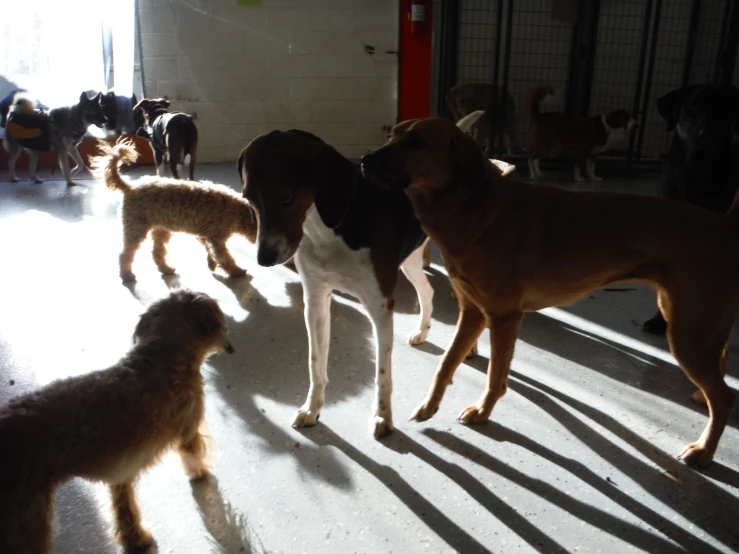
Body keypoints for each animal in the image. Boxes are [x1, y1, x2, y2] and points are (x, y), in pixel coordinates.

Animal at [0, 288, 234, 552]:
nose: (229, 346)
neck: (164, 356)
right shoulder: (189, 429)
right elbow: (193, 458)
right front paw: (201, 473)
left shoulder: (120, 476)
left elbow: (124, 508)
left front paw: (135, 538)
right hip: (28, 525)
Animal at [94, 141, 258, 280]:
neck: (237, 211)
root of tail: (130, 187)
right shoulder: (216, 238)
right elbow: (225, 258)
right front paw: (236, 271)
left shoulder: (206, 236)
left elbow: (211, 252)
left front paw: (212, 263)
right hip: (136, 229)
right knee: (125, 254)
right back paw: (127, 274)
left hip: (160, 230)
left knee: (157, 252)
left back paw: (165, 268)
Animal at [360, 115, 739, 466]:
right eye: (392, 135)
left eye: (417, 143)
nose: (364, 160)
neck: (473, 208)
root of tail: (725, 225)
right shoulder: (473, 313)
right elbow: (446, 363)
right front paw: (429, 406)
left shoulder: (502, 317)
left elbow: (495, 375)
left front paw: (482, 412)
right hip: (693, 323)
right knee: (719, 369)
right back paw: (699, 398)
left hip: (688, 334)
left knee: (724, 398)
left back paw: (704, 451)